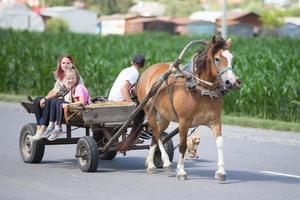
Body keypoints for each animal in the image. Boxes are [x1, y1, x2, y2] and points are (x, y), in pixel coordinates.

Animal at [136, 36, 241, 181]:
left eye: (231, 58)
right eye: (217, 59)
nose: (231, 82)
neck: (201, 89)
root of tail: (147, 71)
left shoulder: (215, 121)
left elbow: (220, 142)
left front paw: (221, 171)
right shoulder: (184, 121)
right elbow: (183, 145)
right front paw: (181, 171)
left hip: (164, 117)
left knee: (155, 136)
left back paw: (151, 163)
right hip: (150, 111)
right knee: (156, 134)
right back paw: (165, 161)